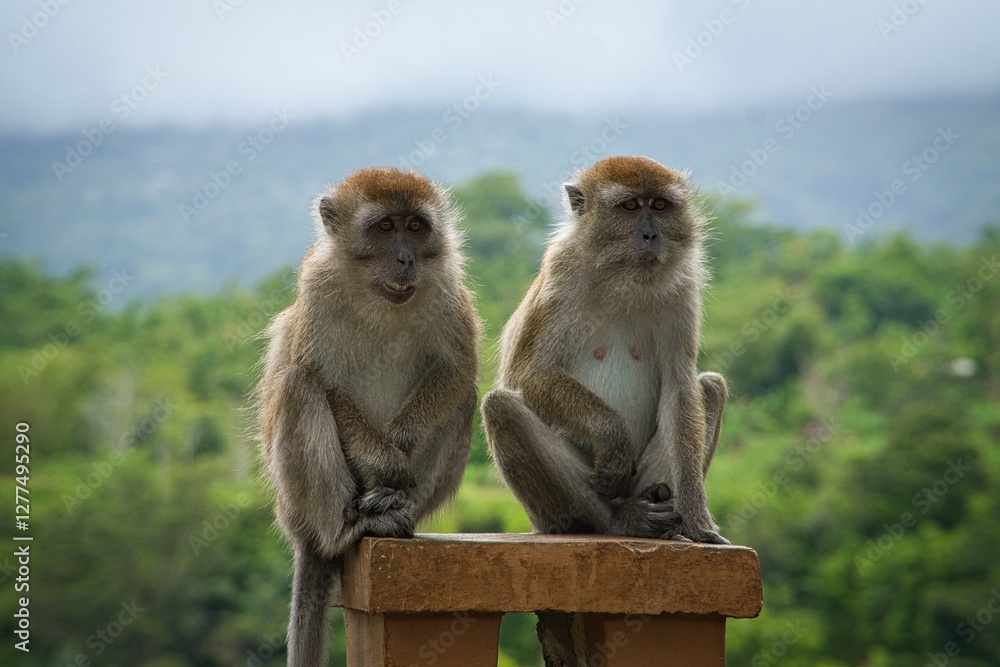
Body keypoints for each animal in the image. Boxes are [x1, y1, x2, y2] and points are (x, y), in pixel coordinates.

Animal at [254, 167, 480, 667]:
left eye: (415, 226)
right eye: (384, 227)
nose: (405, 259)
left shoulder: (447, 283)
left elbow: (457, 372)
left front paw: (401, 441)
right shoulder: (317, 288)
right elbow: (322, 381)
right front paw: (384, 459)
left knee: (465, 398)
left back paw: (400, 509)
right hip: (297, 505)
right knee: (298, 385)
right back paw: (346, 530)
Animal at [480, 156, 728, 665]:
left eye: (659, 206)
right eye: (630, 207)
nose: (650, 235)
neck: (621, 278)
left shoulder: (683, 289)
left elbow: (681, 388)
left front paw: (698, 520)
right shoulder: (561, 274)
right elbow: (527, 374)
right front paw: (612, 436)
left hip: (646, 482)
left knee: (708, 388)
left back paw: (660, 518)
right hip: (559, 507)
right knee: (502, 406)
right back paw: (617, 522)